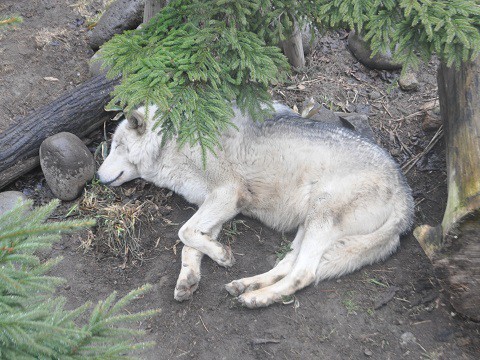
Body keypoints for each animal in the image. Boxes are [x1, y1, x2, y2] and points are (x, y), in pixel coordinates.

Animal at [96, 102, 412, 308]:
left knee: (304, 272)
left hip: (320, 218)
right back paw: (245, 285)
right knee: (288, 264)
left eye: (117, 147)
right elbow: (190, 244)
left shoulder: (227, 194)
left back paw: (256, 298)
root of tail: (406, 199)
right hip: (307, 225)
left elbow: (184, 232)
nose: (97, 176)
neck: (171, 140)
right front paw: (189, 279)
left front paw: (221, 256)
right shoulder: (219, 206)